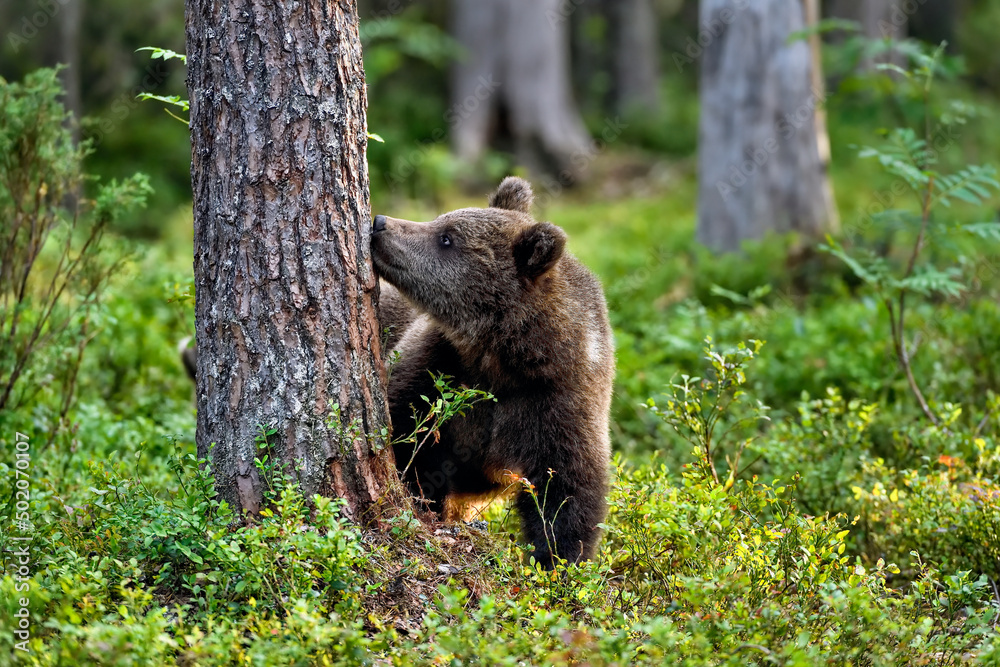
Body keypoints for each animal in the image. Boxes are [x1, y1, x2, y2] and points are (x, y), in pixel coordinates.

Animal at [372, 176, 615, 566]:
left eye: (447, 237)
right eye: (441, 220)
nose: (381, 223)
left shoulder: (556, 402)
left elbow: (568, 490)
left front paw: (555, 560)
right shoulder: (439, 367)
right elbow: (409, 434)